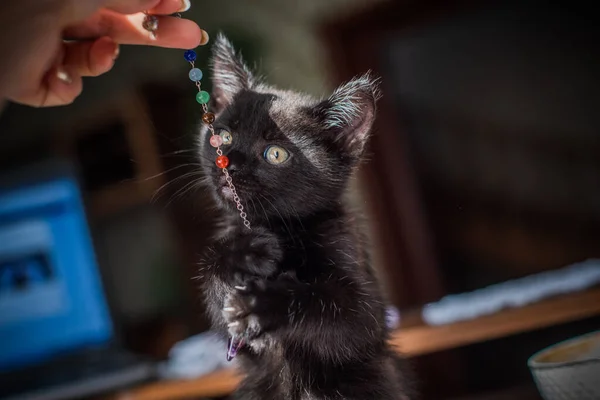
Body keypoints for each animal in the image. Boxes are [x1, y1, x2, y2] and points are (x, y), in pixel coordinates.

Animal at [197, 35, 412, 400]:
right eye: (223, 136)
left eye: (276, 154)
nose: (230, 164)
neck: (281, 227)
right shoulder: (240, 345)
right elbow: (220, 307)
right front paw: (243, 252)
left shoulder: (366, 305)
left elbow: (338, 311)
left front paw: (262, 304)